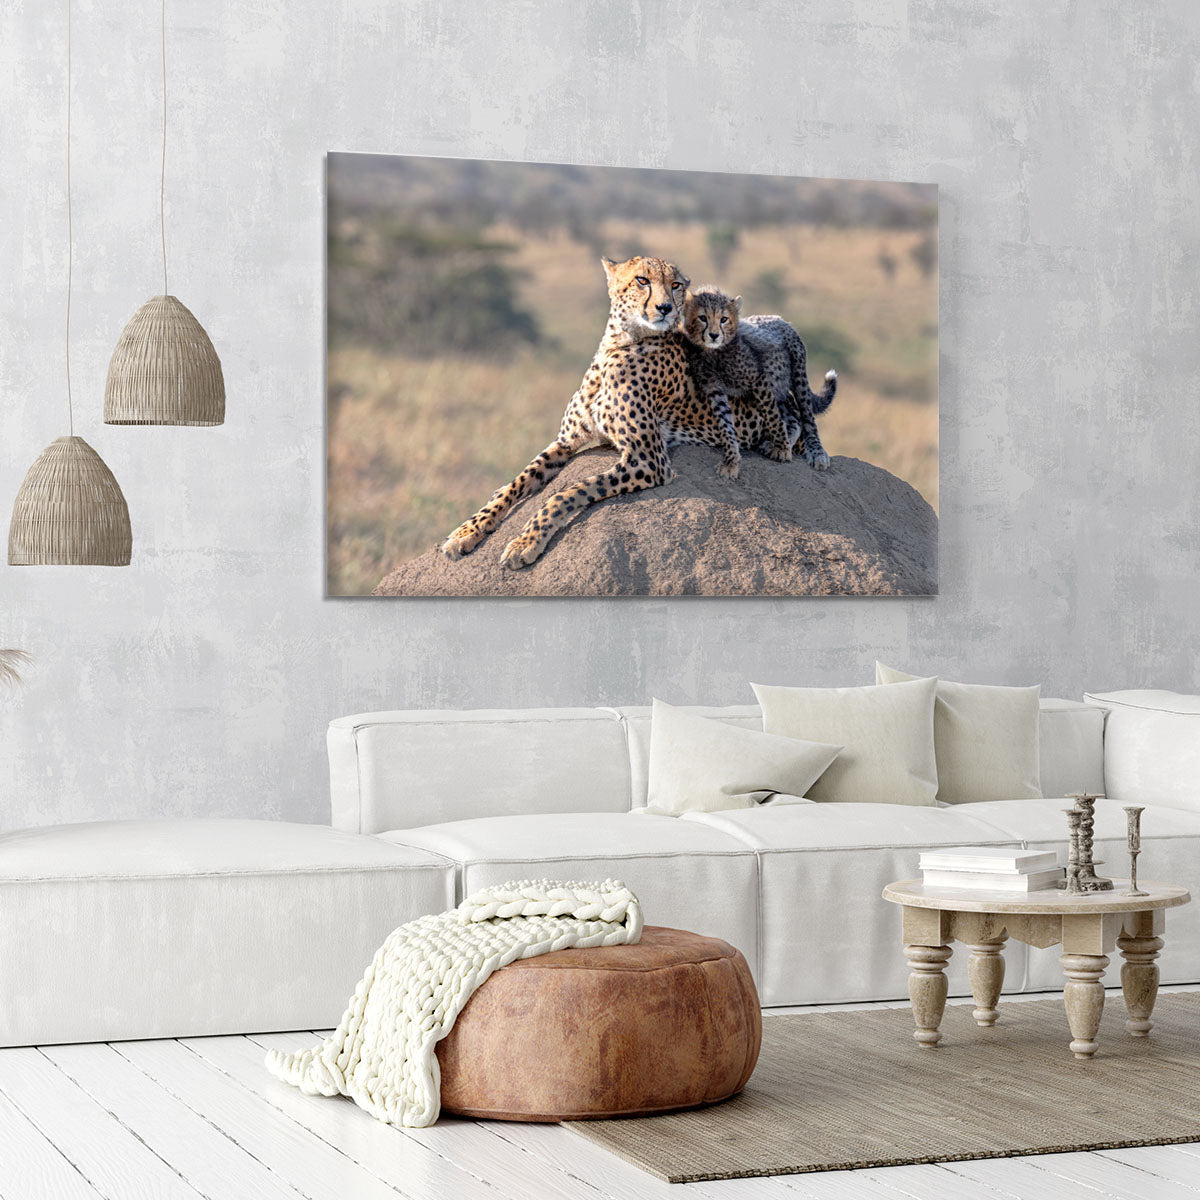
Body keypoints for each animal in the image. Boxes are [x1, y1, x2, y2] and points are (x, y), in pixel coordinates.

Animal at [439, 255, 789, 569]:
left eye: (675, 285)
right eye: (642, 280)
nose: (665, 308)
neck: (619, 344)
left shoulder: (649, 459)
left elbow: (568, 492)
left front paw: (525, 542)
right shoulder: (566, 441)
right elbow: (518, 481)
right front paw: (467, 530)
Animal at [682, 286, 838, 471]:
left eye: (724, 319)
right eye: (703, 318)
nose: (714, 335)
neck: (713, 352)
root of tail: (779, 318)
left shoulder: (758, 379)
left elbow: (772, 416)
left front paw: (782, 449)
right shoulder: (714, 388)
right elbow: (725, 422)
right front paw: (731, 460)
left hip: (797, 374)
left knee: (806, 416)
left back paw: (816, 452)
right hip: (777, 388)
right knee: (793, 417)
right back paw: (776, 443)